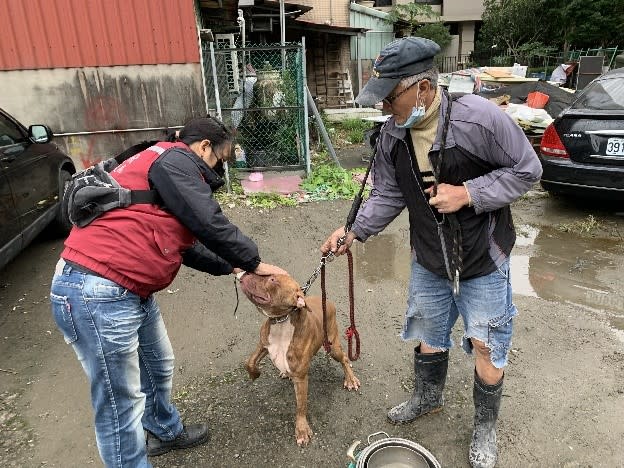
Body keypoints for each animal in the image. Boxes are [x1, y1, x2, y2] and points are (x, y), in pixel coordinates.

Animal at [239, 270, 360, 446]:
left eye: (272, 279)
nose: (246, 271)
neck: (282, 321)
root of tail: (328, 302)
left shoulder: (301, 378)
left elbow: (301, 406)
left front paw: (302, 430)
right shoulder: (263, 345)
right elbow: (249, 362)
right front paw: (254, 374)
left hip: (333, 346)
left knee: (344, 358)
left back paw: (350, 379)